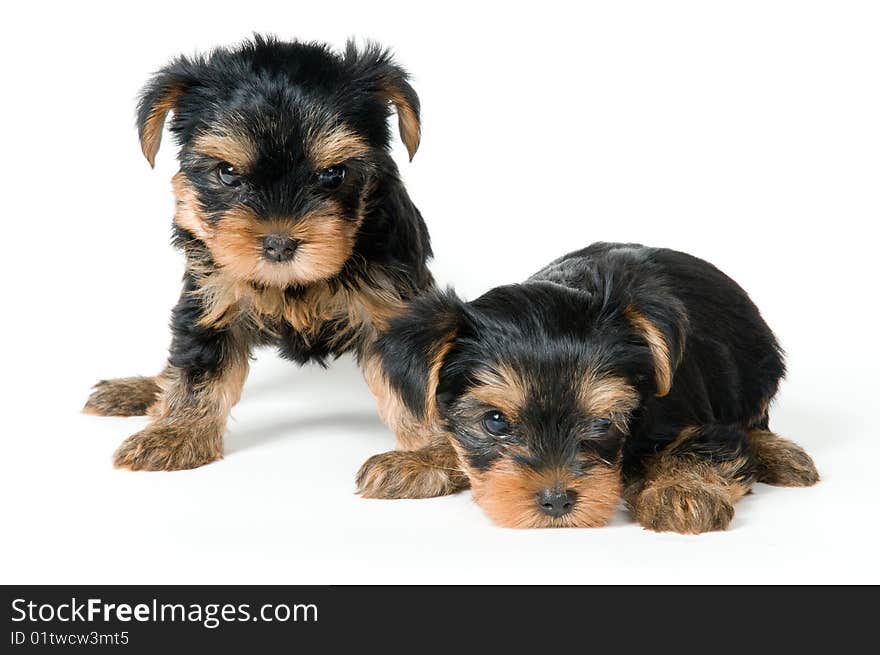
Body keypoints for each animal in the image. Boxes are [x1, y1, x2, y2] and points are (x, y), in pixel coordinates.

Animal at [85, 37, 436, 472]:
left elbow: (414, 385)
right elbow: (197, 368)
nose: (279, 243)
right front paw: (176, 432)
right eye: (227, 173)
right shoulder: (211, 296)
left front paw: (428, 458)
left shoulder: (393, 306)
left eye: (333, 174)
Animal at [360, 243, 820, 536]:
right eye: (495, 422)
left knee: (756, 421)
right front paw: (417, 460)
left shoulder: (704, 421)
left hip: (758, 367)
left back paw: (780, 455)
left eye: (601, 422)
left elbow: (706, 448)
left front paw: (681, 491)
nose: (556, 501)